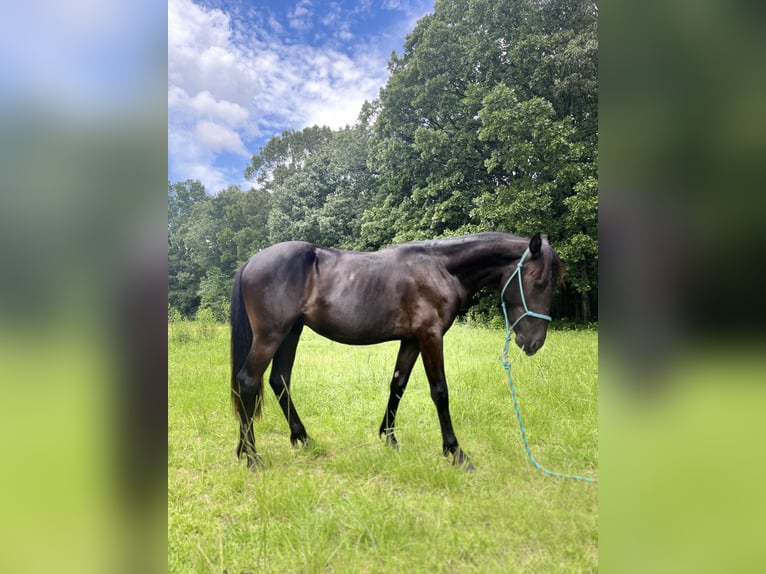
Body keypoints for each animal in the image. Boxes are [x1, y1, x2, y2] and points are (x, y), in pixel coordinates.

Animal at [230, 233, 564, 472]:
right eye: (538, 282)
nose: (534, 342)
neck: (440, 269)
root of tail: (250, 262)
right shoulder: (430, 337)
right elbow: (440, 392)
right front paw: (455, 452)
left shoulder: (411, 341)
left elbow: (398, 385)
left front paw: (389, 439)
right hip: (272, 335)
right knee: (248, 381)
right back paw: (252, 457)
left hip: (292, 333)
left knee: (279, 380)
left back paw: (301, 439)